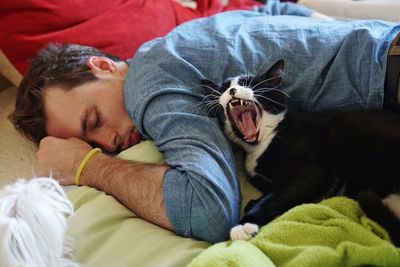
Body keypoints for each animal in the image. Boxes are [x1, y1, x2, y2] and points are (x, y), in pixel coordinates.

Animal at [202, 59, 400, 246]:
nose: (233, 90)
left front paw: (244, 224)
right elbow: (272, 192)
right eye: (224, 88)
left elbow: (278, 195)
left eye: (249, 83)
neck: (262, 143)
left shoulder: (314, 172)